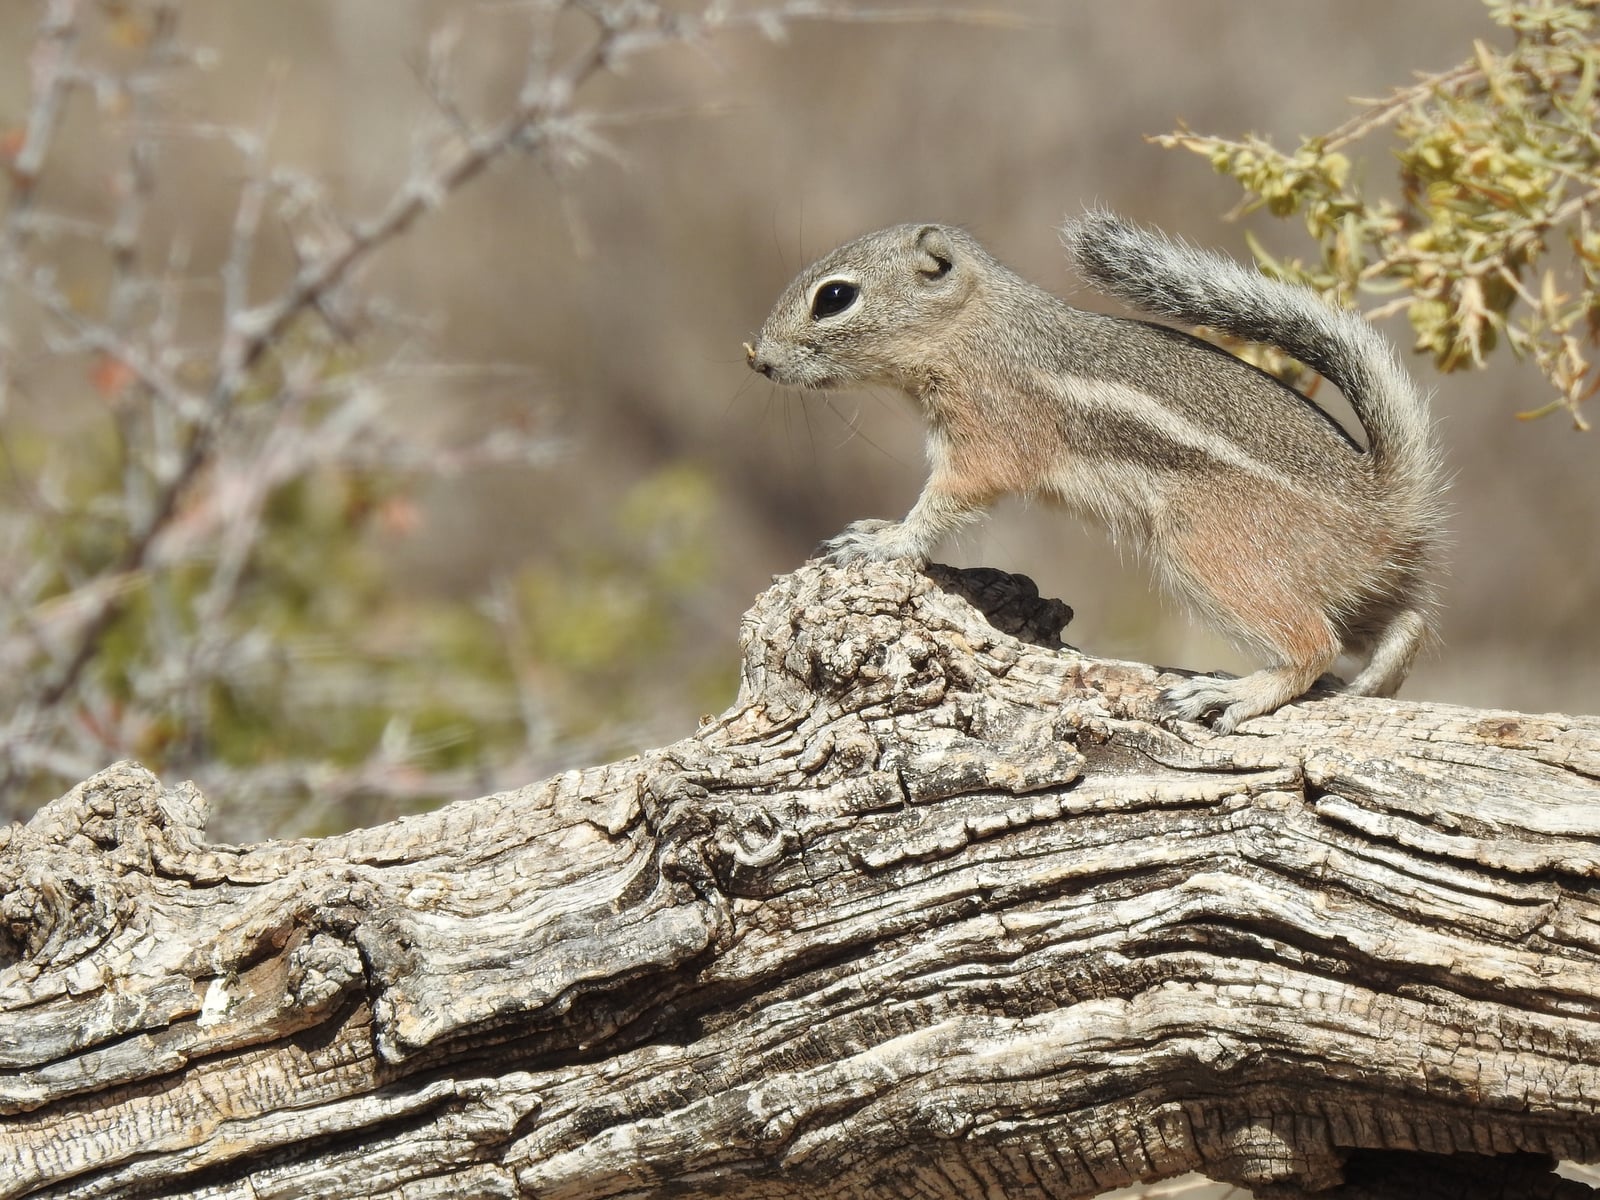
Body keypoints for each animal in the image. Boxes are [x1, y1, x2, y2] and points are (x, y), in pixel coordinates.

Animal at [744, 210, 1443, 733]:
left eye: (835, 297)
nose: (757, 358)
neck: (976, 327)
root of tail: (1382, 498)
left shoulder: (983, 438)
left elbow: (945, 502)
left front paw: (887, 541)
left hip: (1212, 553)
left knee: (1313, 644)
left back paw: (1235, 694)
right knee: (1404, 623)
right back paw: (1371, 683)